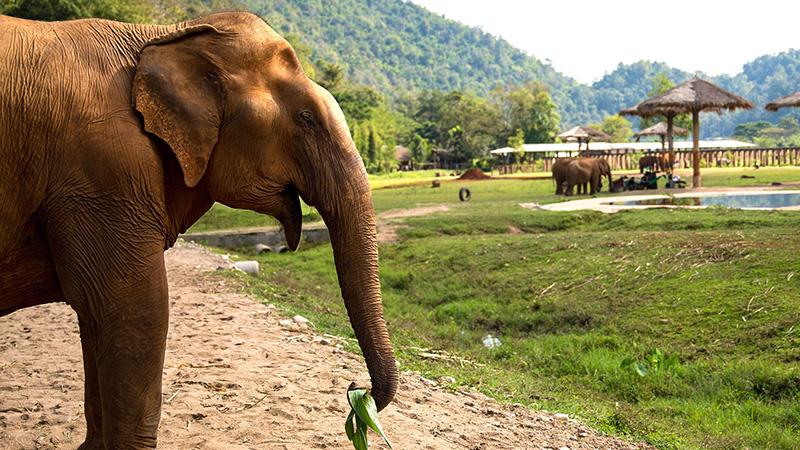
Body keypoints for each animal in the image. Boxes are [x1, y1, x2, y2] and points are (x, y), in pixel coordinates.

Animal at [0, 12, 397, 449]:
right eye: (306, 119)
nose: (356, 391)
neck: (164, 36)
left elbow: (96, 315)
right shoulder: (102, 168)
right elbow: (136, 309)